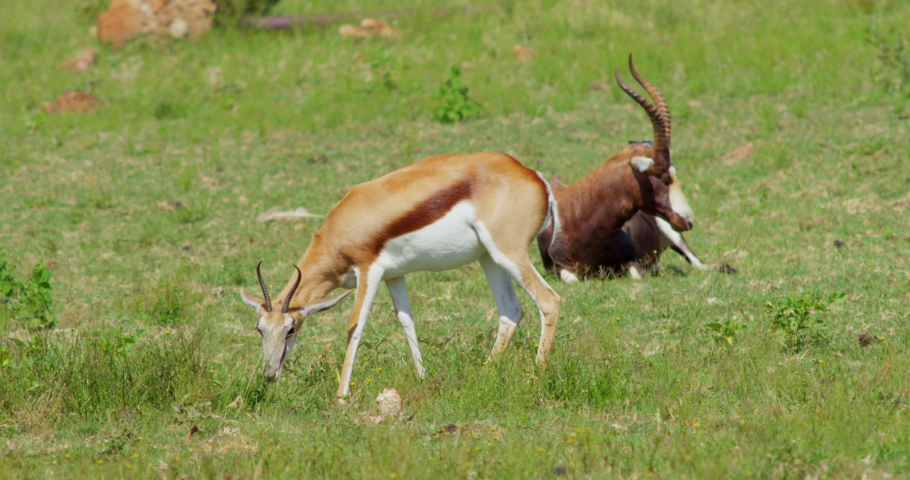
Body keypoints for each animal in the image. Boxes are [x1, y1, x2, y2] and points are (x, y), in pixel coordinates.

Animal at [240, 153, 561, 399]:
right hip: (489, 259)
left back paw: (537, 375)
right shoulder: (394, 276)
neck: (342, 227)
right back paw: (484, 373)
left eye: (291, 329)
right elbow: (406, 320)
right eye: (260, 329)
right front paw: (422, 377)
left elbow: (355, 327)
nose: (268, 374)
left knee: (549, 301)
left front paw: (341, 396)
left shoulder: (369, 271)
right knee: (511, 311)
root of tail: (534, 176)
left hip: (509, 253)